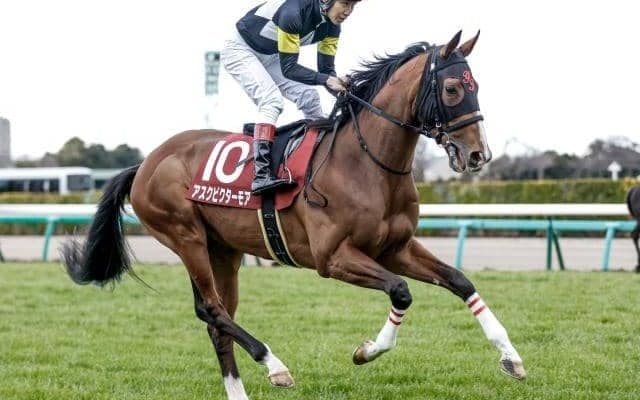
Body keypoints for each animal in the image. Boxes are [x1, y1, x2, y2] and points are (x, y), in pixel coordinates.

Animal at [62, 31, 526, 400]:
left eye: (475, 85)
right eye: (451, 89)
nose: (478, 154)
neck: (367, 163)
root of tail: (146, 162)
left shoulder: (396, 248)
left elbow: (460, 281)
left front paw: (511, 356)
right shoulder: (332, 258)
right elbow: (400, 291)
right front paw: (367, 351)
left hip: (223, 249)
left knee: (219, 318)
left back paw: (240, 392)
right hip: (185, 236)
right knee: (212, 310)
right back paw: (275, 365)